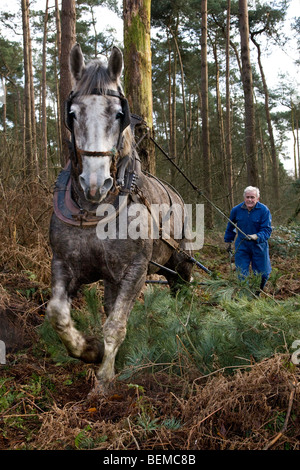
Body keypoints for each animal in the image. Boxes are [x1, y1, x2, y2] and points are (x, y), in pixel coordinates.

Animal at [47, 45, 192, 392]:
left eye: (117, 114)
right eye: (73, 114)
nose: (95, 184)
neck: (95, 210)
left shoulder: (135, 270)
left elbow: (115, 324)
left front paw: (104, 380)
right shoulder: (64, 263)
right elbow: (58, 313)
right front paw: (89, 349)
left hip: (180, 262)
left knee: (181, 289)